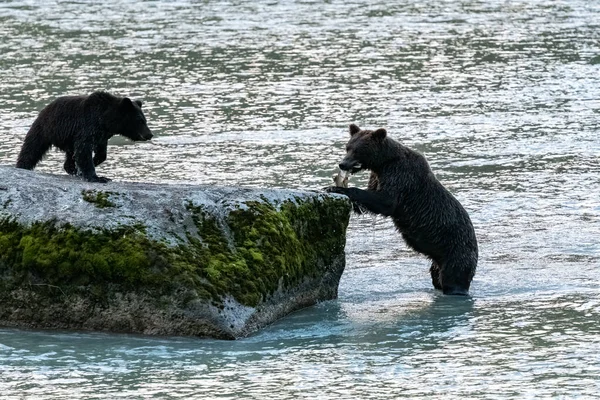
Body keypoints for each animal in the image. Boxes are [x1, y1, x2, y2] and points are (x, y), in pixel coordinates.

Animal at [16, 91, 154, 183]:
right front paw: (97, 177)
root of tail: (44, 109)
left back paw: (72, 169)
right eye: (140, 120)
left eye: (145, 120)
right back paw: (22, 165)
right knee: (32, 148)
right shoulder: (88, 126)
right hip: (45, 129)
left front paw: (92, 163)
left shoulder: (101, 135)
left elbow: (101, 152)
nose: (149, 134)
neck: (106, 120)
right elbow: (83, 150)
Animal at [328, 123, 478, 296]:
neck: (383, 163)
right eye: (347, 147)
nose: (342, 164)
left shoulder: (400, 175)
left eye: (358, 150)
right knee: (436, 277)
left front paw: (339, 188)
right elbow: (369, 201)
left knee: (454, 278)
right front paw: (332, 187)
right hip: (438, 260)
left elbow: (385, 201)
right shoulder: (377, 176)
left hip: (456, 251)